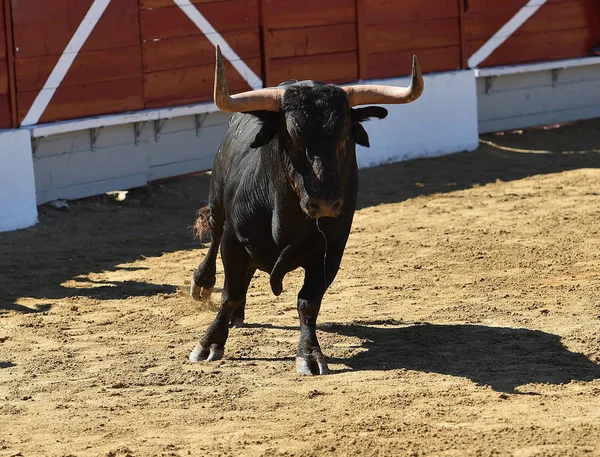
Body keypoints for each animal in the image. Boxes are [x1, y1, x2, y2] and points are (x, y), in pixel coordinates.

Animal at [188, 47, 422, 374]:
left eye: (345, 135)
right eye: (291, 137)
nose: (324, 201)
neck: (285, 219)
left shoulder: (330, 252)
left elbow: (308, 302)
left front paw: (309, 354)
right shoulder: (235, 243)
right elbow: (229, 294)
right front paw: (209, 343)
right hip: (218, 199)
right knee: (214, 235)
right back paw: (202, 283)